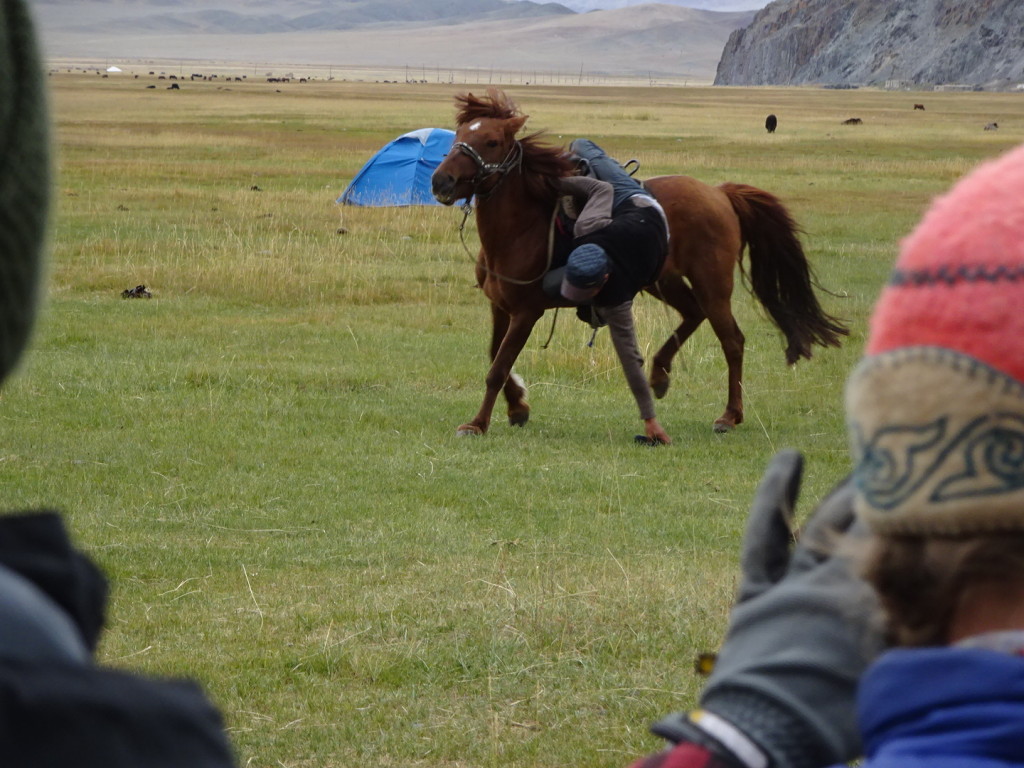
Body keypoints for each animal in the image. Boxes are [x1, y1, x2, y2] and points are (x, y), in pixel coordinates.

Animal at [428, 88, 843, 436]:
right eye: (458, 133)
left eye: (491, 141)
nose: (440, 182)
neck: (522, 227)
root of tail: (720, 193)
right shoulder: (501, 307)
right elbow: (495, 357)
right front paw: (517, 407)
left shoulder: (527, 312)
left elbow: (497, 368)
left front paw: (478, 423)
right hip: (664, 280)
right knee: (693, 314)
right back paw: (659, 376)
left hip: (712, 285)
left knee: (732, 341)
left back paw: (729, 415)